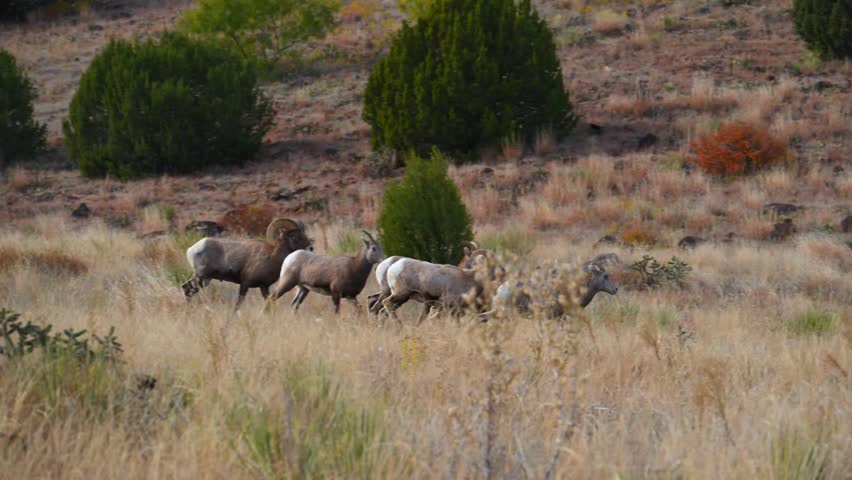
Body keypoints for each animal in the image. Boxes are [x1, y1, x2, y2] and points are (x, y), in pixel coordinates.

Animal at [181, 218, 312, 309]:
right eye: (294, 236)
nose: (310, 248)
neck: (272, 257)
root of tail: (191, 249)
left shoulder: (264, 287)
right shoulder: (245, 284)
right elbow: (238, 304)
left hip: (204, 279)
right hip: (200, 277)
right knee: (187, 289)